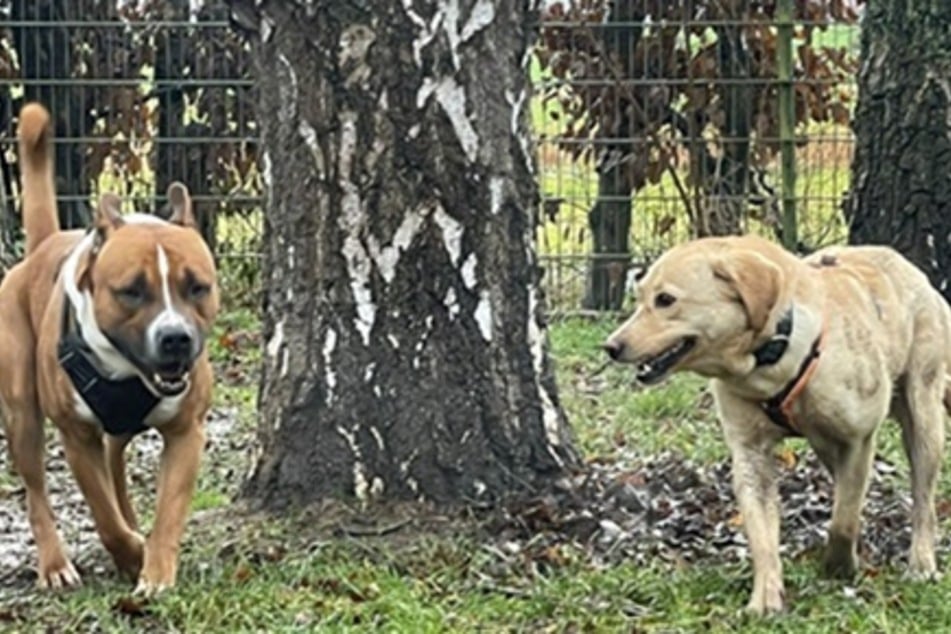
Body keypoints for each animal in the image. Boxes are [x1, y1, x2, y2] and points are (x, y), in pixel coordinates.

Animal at [0, 102, 219, 592]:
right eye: (131, 291)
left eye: (197, 287)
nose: (175, 338)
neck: (127, 371)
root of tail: (40, 248)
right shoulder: (76, 435)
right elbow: (102, 513)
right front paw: (131, 551)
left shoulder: (187, 431)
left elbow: (169, 510)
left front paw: (154, 569)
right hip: (21, 410)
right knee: (37, 489)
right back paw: (55, 564)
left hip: (115, 431)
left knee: (116, 461)